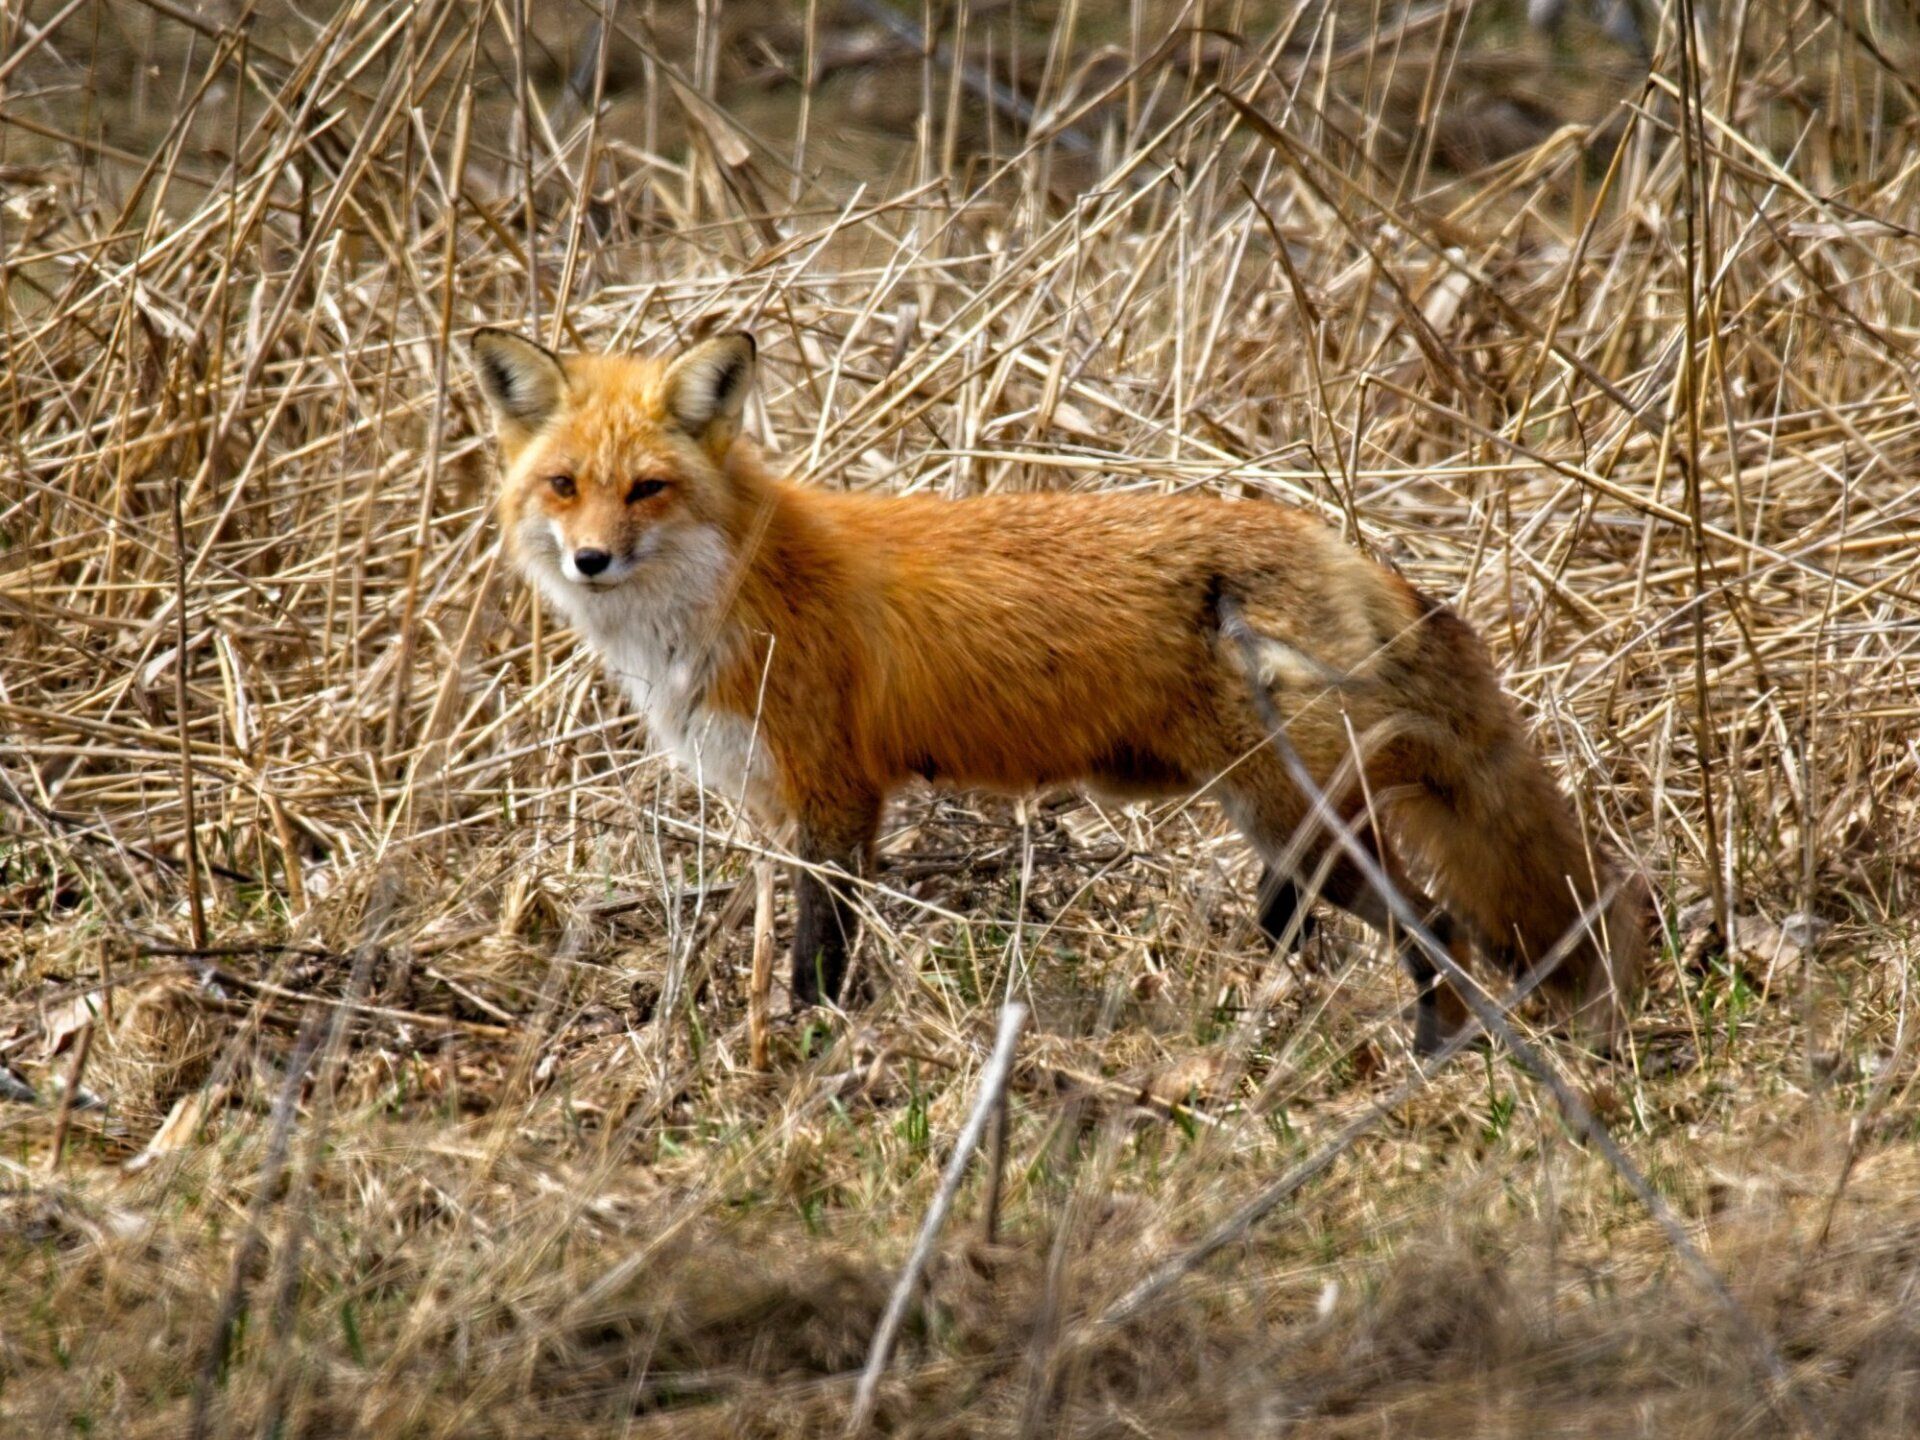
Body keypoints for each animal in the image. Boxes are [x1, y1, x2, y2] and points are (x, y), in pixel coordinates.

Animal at [468, 326, 1647, 1054]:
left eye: (647, 490)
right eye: (563, 486)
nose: (590, 561)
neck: (740, 584)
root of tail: (1338, 547)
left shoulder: (838, 792)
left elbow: (819, 955)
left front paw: (811, 1049)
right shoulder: (776, 800)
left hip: (1296, 819)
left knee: (1437, 923)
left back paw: (1430, 1048)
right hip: (1286, 824)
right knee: (1371, 922)